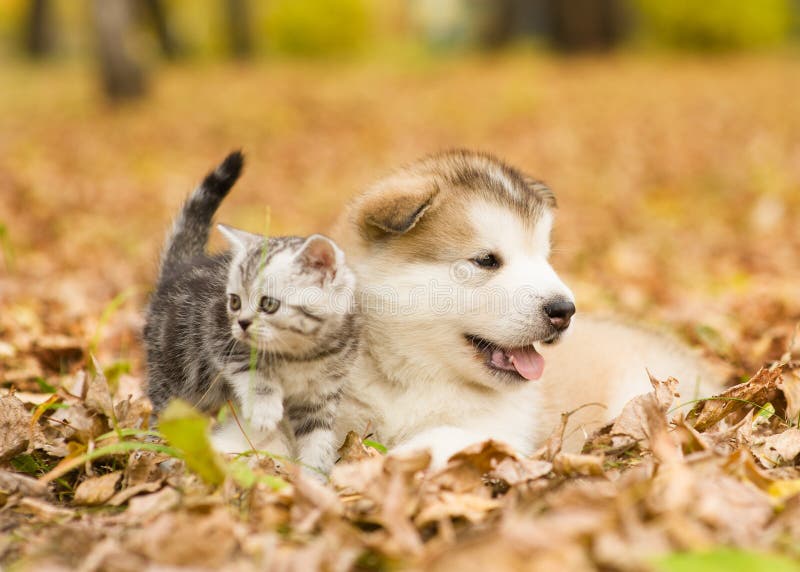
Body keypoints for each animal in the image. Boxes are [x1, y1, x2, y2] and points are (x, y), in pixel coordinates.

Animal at [144, 150, 356, 472]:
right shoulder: (221, 338)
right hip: (176, 373)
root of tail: (176, 272)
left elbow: (317, 438)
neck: (304, 354)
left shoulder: (320, 395)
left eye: (268, 304)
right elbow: (253, 370)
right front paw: (265, 411)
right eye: (234, 301)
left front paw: (316, 474)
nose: (242, 323)